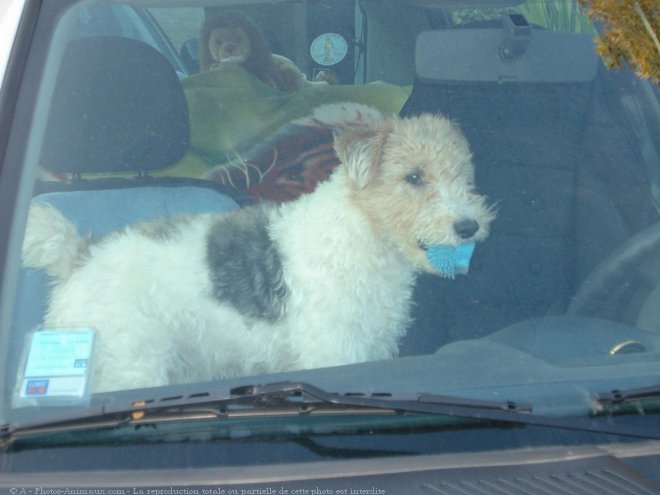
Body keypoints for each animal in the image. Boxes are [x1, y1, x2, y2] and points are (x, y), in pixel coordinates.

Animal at [21, 106, 496, 394]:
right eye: (413, 177)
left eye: (462, 174)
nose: (469, 226)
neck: (360, 233)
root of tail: (79, 253)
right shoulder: (332, 351)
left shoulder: (371, 346)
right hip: (131, 365)